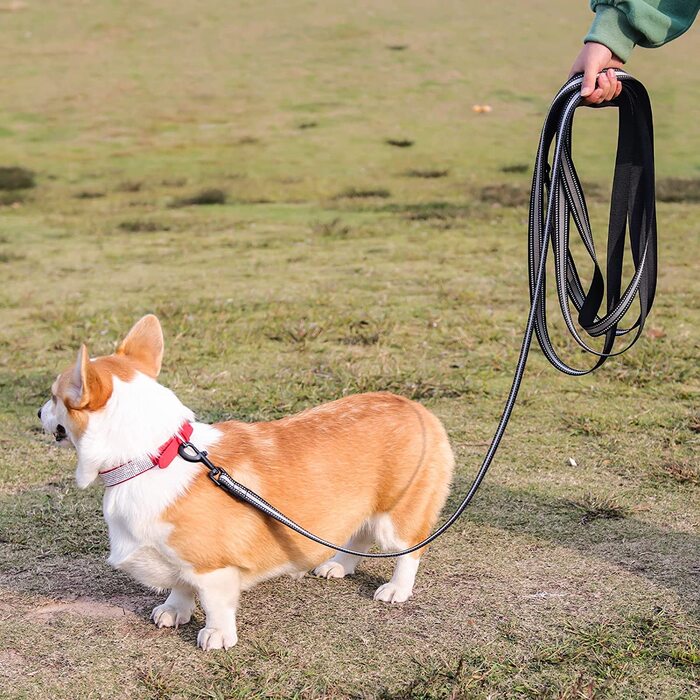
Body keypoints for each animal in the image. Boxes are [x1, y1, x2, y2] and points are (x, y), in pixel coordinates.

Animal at [38, 318, 454, 652]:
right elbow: (180, 587)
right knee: (359, 535)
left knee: (409, 550)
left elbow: (214, 603)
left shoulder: (213, 567)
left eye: (55, 396)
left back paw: (396, 590)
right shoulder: (179, 557)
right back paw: (339, 566)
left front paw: (217, 635)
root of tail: (418, 408)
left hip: (399, 514)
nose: (38, 413)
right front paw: (173, 611)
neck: (152, 454)